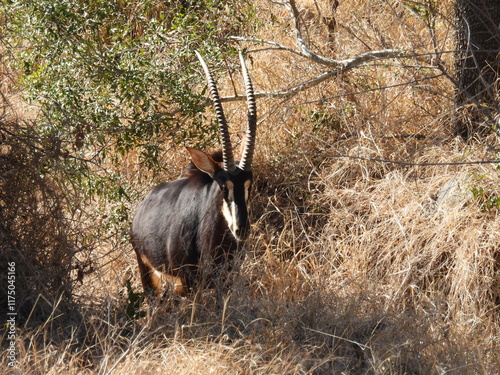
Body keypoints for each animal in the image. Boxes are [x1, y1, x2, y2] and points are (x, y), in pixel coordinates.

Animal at [131, 51, 256, 298]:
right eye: (223, 186)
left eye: (249, 185)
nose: (241, 229)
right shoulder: (188, 280)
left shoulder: (226, 276)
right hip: (150, 273)